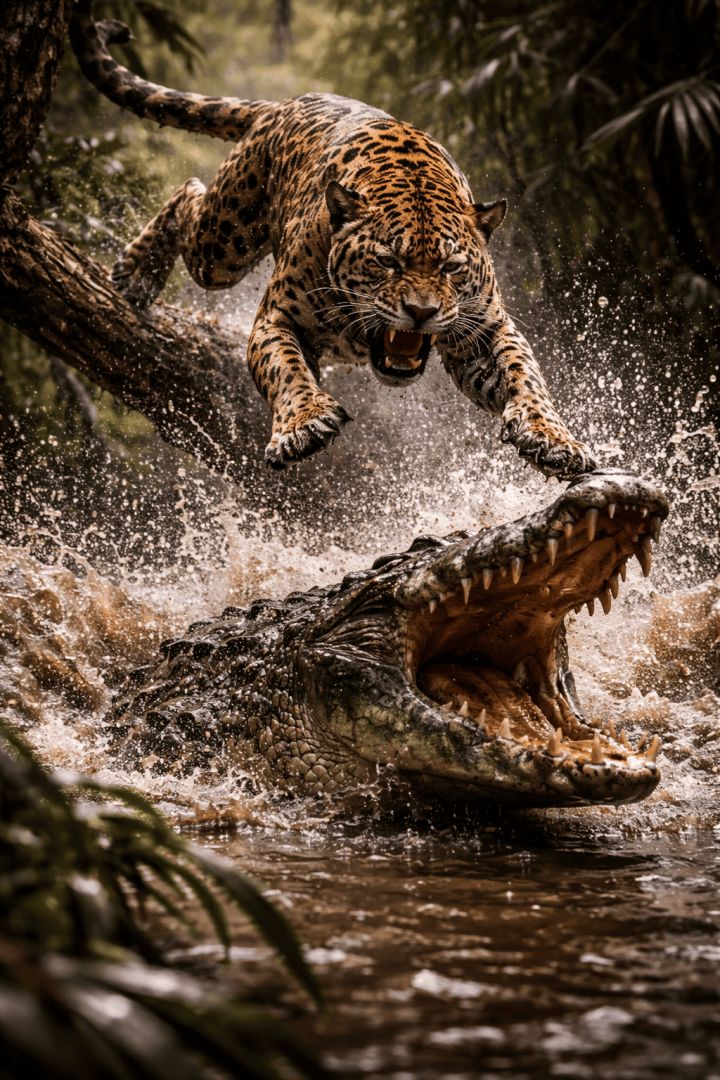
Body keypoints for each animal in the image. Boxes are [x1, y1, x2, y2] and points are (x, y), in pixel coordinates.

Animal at [70, 1, 597, 477]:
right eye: (387, 262)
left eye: (451, 267)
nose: (421, 312)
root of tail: (284, 105)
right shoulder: (274, 318)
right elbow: (284, 367)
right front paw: (303, 424)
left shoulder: (483, 330)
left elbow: (526, 374)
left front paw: (553, 438)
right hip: (223, 246)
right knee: (190, 194)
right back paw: (136, 273)